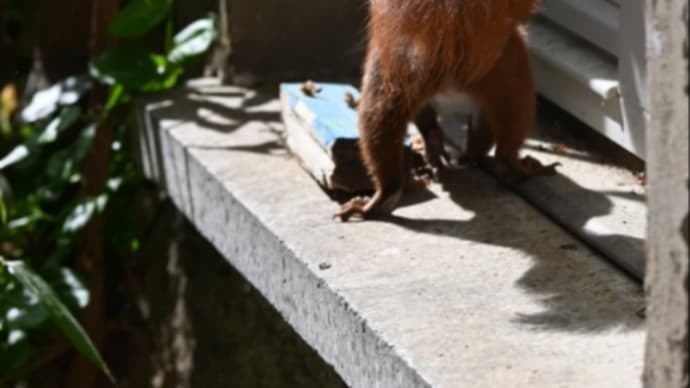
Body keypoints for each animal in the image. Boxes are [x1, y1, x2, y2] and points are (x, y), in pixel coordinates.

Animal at [336, 0, 556, 221]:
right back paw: (515, 165)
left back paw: (386, 194)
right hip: (505, 65)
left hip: (389, 73)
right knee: (509, 128)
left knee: (380, 118)